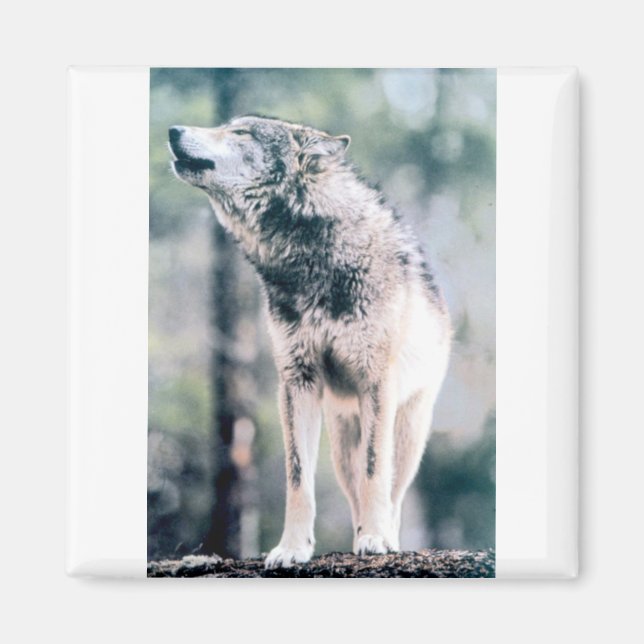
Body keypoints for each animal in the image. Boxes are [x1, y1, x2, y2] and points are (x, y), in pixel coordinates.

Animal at [169, 116, 451, 568]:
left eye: (241, 133)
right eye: (227, 126)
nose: (173, 130)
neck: (310, 259)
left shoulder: (375, 382)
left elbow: (376, 471)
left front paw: (376, 538)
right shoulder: (297, 381)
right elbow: (298, 478)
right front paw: (292, 548)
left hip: (407, 432)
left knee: (391, 491)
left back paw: (382, 535)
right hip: (341, 443)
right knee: (354, 491)